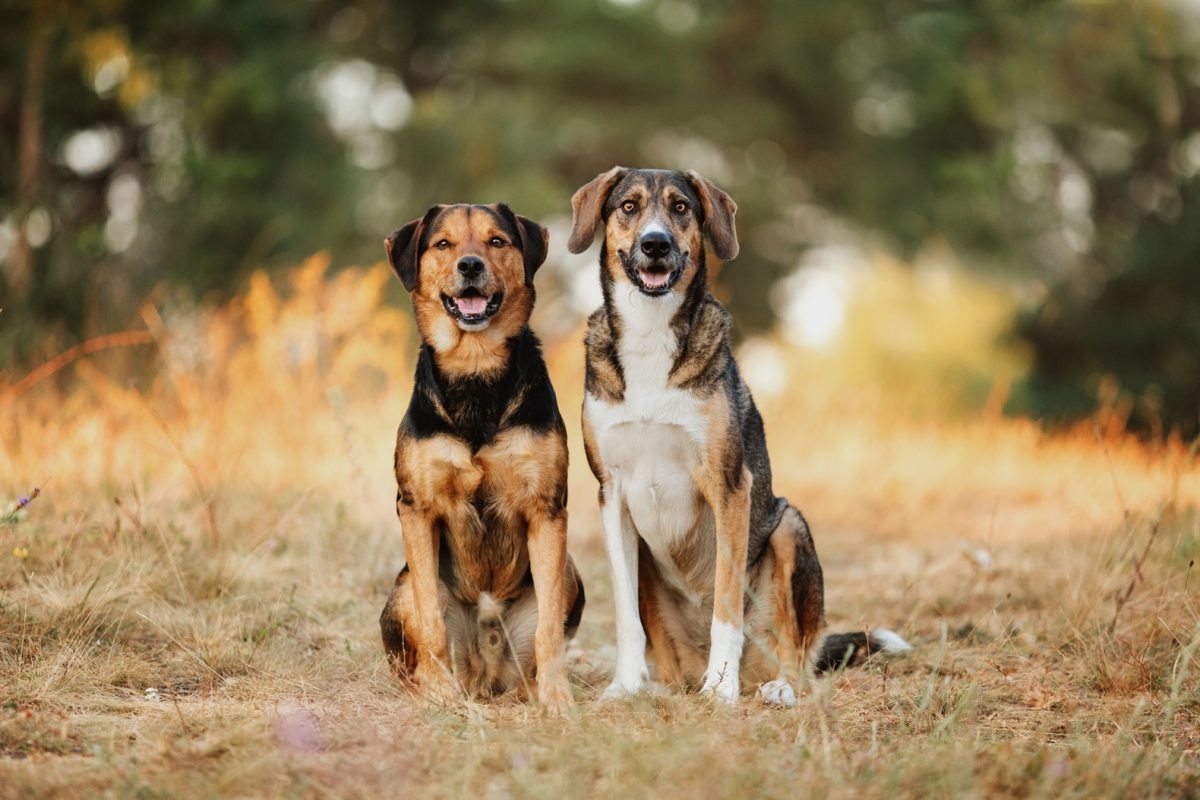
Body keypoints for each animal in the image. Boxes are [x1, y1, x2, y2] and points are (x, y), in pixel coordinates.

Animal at [374, 201, 580, 714]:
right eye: (443, 244)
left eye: (496, 241)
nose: (470, 266)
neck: (476, 368)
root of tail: (486, 674)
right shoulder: (416, 509)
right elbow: (431, 620)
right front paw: (438, 693)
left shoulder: (548, 511)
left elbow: (550, 631)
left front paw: (558, 698)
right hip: (402, 587)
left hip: (568, 571)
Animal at [566, 165, 902, 705]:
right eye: (628, 207)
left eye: (681, 207)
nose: (656, 244)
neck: (650, 334)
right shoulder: (611, 494)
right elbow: (624, 616)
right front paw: (624, 686)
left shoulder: (728, 486)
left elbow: (727, 608)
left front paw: (720, 688)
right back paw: (663, 687)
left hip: (789, 526)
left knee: (795, 653)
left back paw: (773, 687)